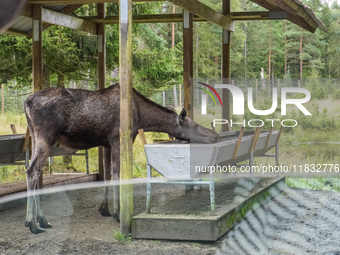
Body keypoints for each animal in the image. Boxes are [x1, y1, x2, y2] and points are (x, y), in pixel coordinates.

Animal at [24, 83, 220, 233]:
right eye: (194, 125)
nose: (215, 135)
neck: (142, 117)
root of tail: (26, 102)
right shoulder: (117, 139)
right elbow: (118, 173)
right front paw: (118, 213)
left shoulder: (106, 143)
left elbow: (107, 174)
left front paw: (104, 209)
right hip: (46, 137)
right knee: (32, 170)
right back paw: (33, 223)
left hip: (35, 137)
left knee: (35, 172)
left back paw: (40, 219)